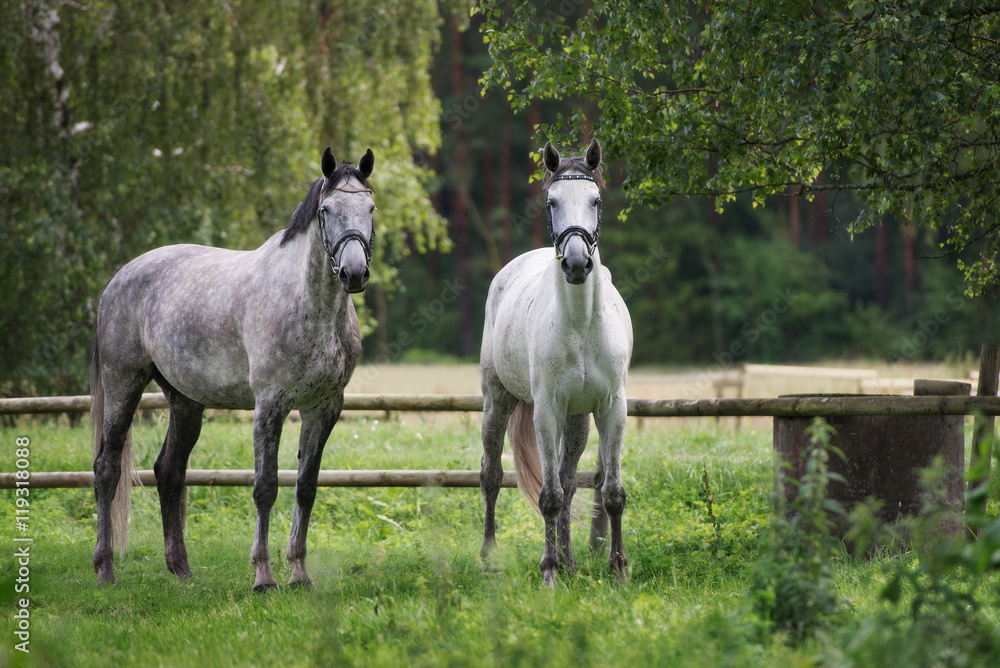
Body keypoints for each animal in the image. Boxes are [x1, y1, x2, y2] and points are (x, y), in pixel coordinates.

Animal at [91, 147, 376, 591]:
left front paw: (299, 573)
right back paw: (105, 569)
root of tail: (118, 279)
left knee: (169, 472)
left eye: (371, 208)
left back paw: (182, 570)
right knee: (107, 469)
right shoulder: (270, 405)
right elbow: (265, 487)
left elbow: (306, 487)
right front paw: (263, 576)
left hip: (185, 402)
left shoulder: (324, 407)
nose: (354, 273)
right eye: (326, 210)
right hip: (123, 385)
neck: (309, 304)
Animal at [479, 139, 634, 586]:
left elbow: (610, 493)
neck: (581, 325)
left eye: (595, 201)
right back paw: (492, 557)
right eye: (552, 202)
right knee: (491, 475)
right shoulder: (546, 410)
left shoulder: (612, 408)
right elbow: (549, 496)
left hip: (578, 418)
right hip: (497, 401)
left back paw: (569, 560)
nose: (577, 264)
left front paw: (618, 567)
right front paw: (548, 570)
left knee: (568, 481)